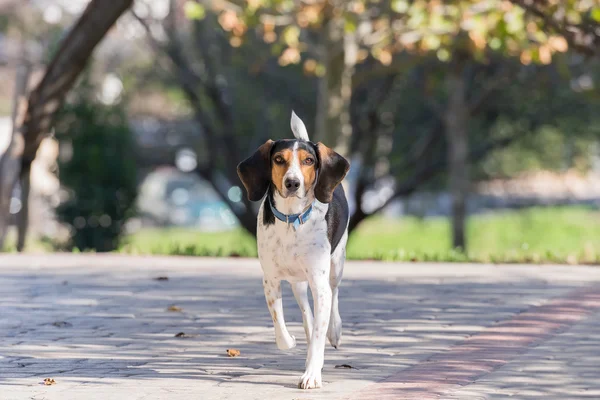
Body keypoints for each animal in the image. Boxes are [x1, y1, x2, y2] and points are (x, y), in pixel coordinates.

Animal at [238, 111, 352, 390]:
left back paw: (334, 331)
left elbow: (320, 332)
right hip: (297, 283)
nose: (292, 183)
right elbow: (279, 321)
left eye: (309, 161)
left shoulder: (319, 284)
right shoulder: (270, 280)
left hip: (336, 265)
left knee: (334, 295)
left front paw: (312, 373)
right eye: (279, 159)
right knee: (306, 314)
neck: (292, 219)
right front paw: (290, 342)